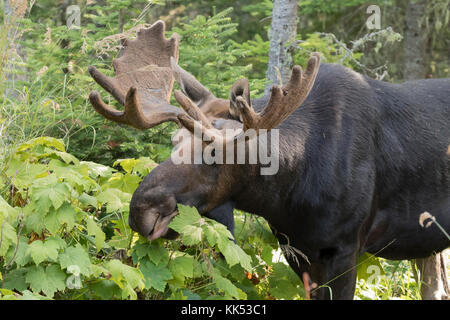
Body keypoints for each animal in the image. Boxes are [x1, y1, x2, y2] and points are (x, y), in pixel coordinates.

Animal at [88, 21, 450, 298]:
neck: (285, 193)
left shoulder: (346, 247)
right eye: (173, 141)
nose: (140, 210)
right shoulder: (296, 249)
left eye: (215, 152)